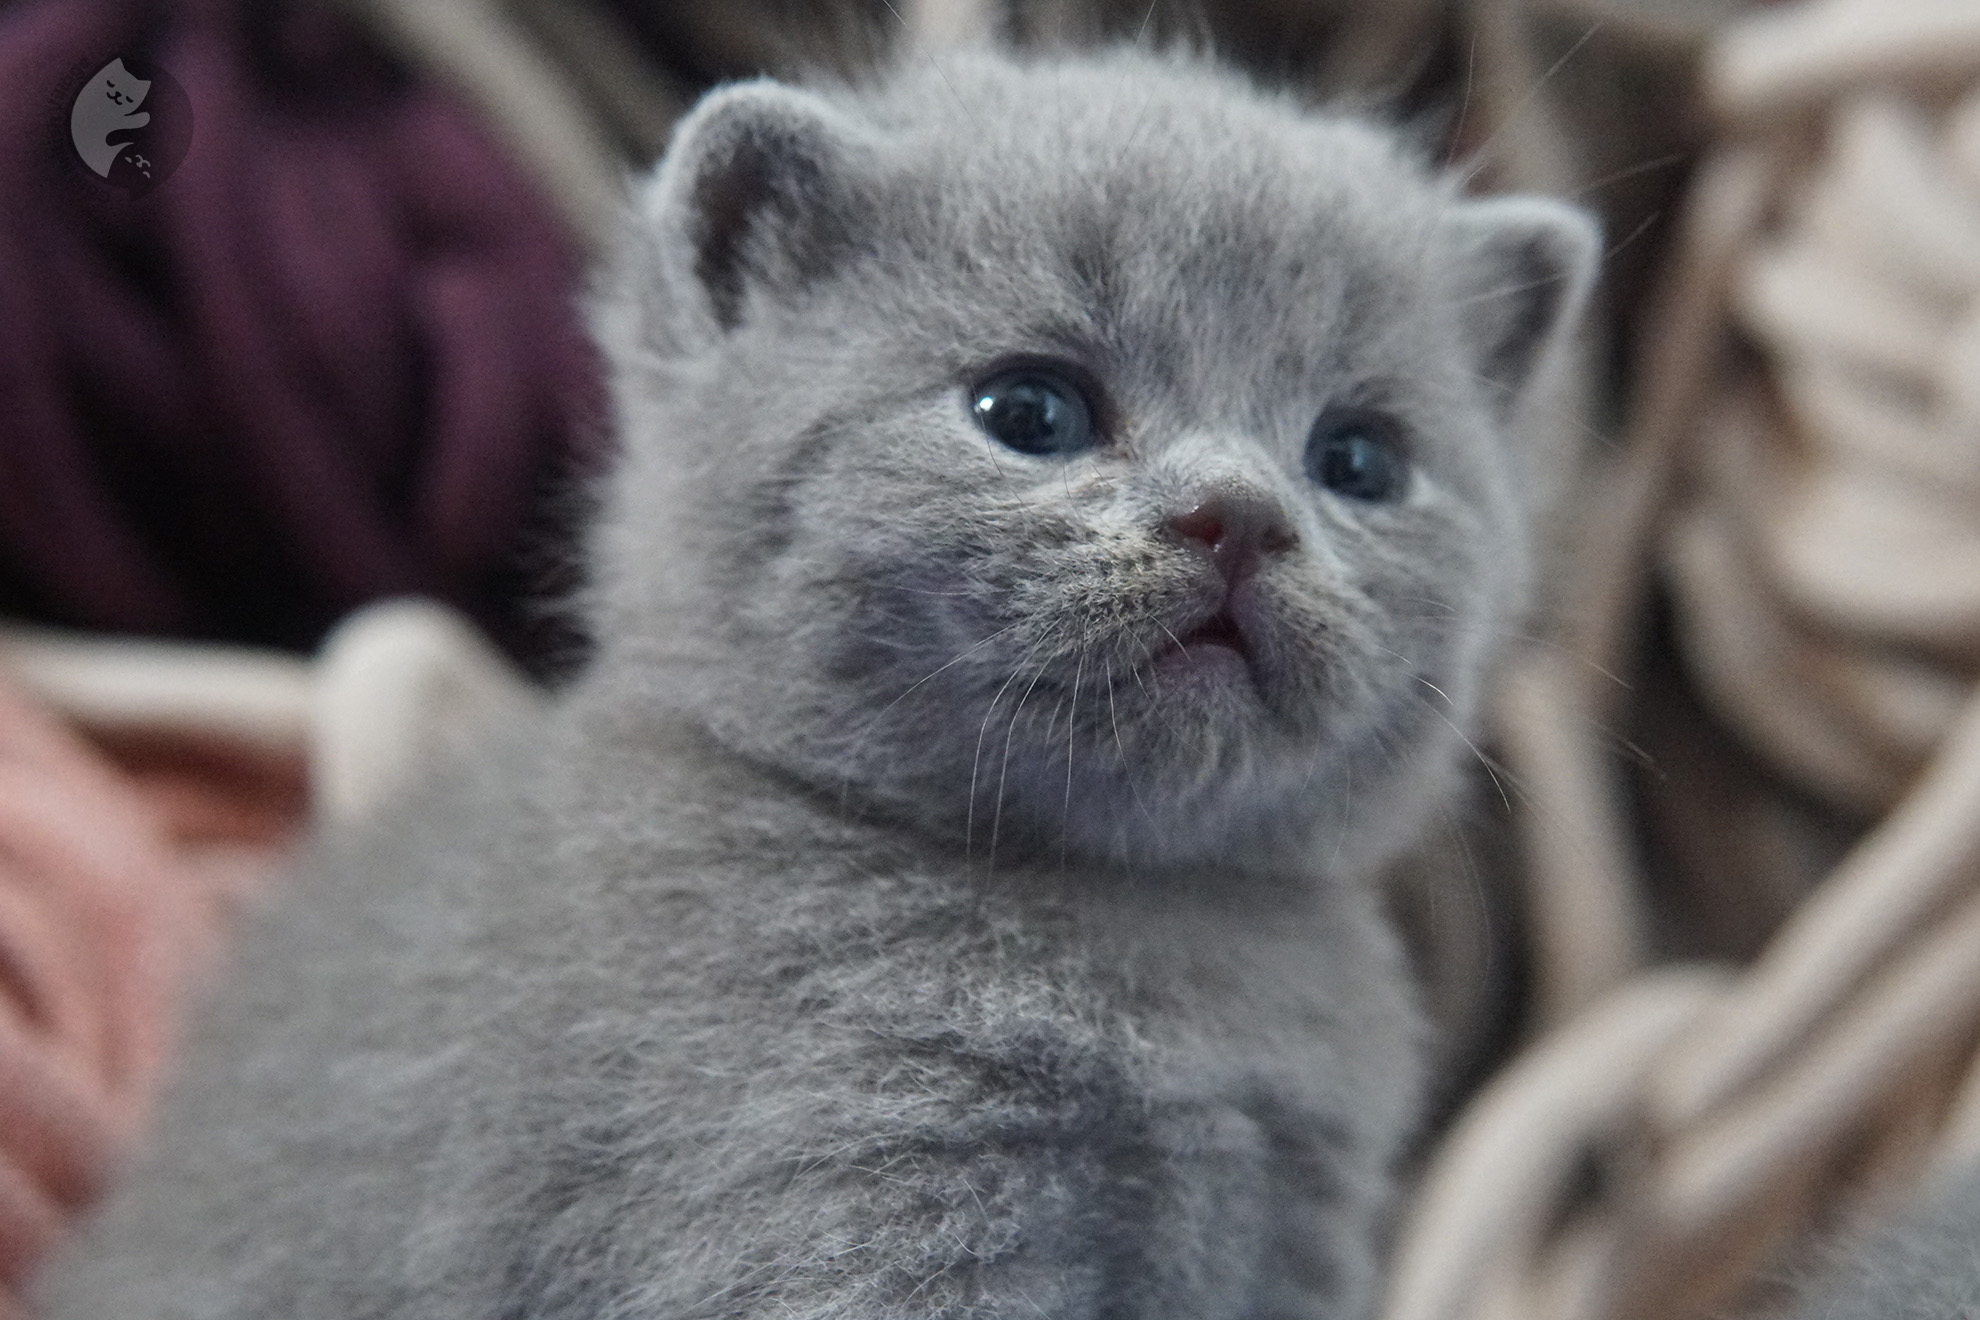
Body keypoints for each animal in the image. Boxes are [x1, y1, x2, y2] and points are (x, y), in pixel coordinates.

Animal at [38, 46, 1599, 1320]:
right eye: (1030, 411)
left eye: (1359, 461)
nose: (1239, 516)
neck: (1136, 933)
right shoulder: (835, 1205)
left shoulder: (1294, 1234)